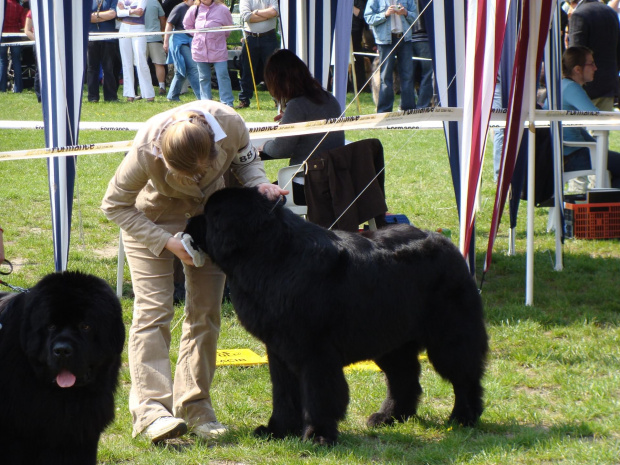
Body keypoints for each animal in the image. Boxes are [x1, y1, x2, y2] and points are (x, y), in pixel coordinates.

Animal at [185, 187, 490, 444]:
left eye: (209, 215)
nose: (188, 221)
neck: (270, 256)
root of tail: (448, 244)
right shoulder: (279, 350)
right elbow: (283, 394)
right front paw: (277, 430)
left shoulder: (315, 352)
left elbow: (319, 395)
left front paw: (318, 435)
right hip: (390, 338)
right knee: (404, 377)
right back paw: (389, 416)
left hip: (449, 335)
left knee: (464, 375)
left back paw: (463, 417)